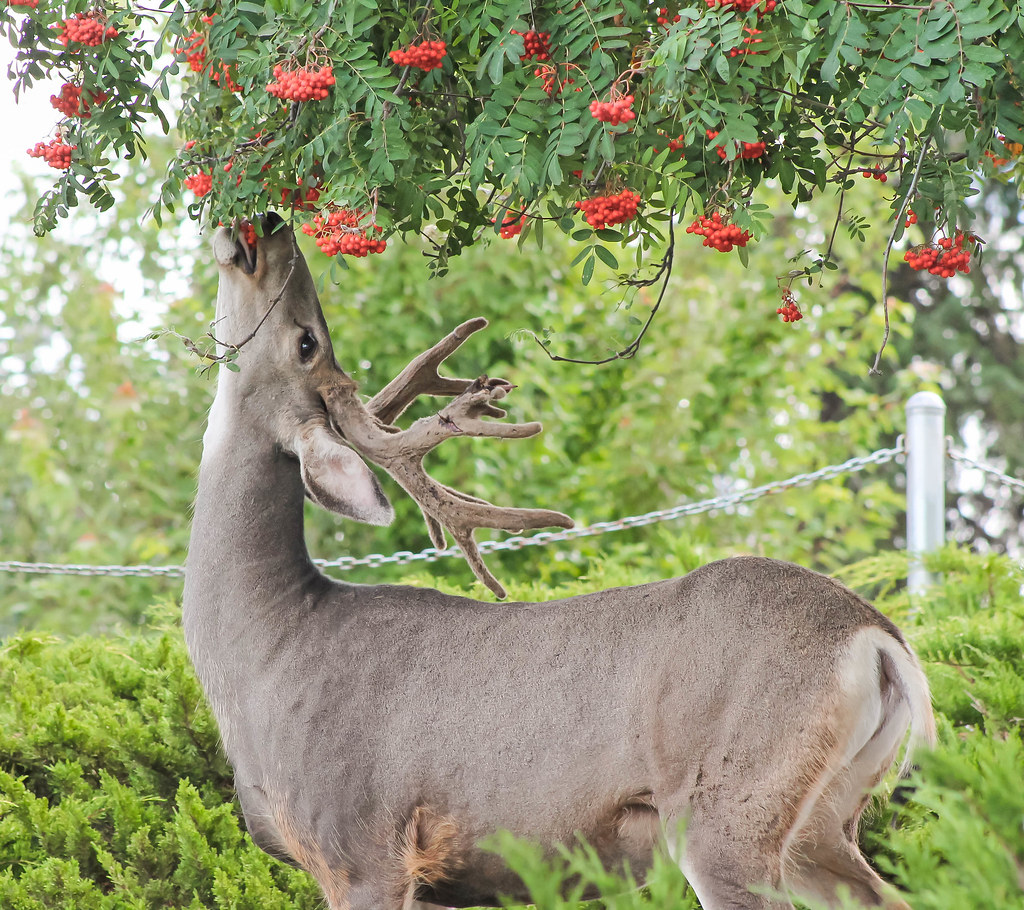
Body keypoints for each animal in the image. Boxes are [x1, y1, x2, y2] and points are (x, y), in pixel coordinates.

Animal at [182, 213, 935, 910]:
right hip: (823, 821)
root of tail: (877, 637)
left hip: (730, 812)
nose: (269, 225)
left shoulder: (360, 844)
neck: (270, 650)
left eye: (306, 341)